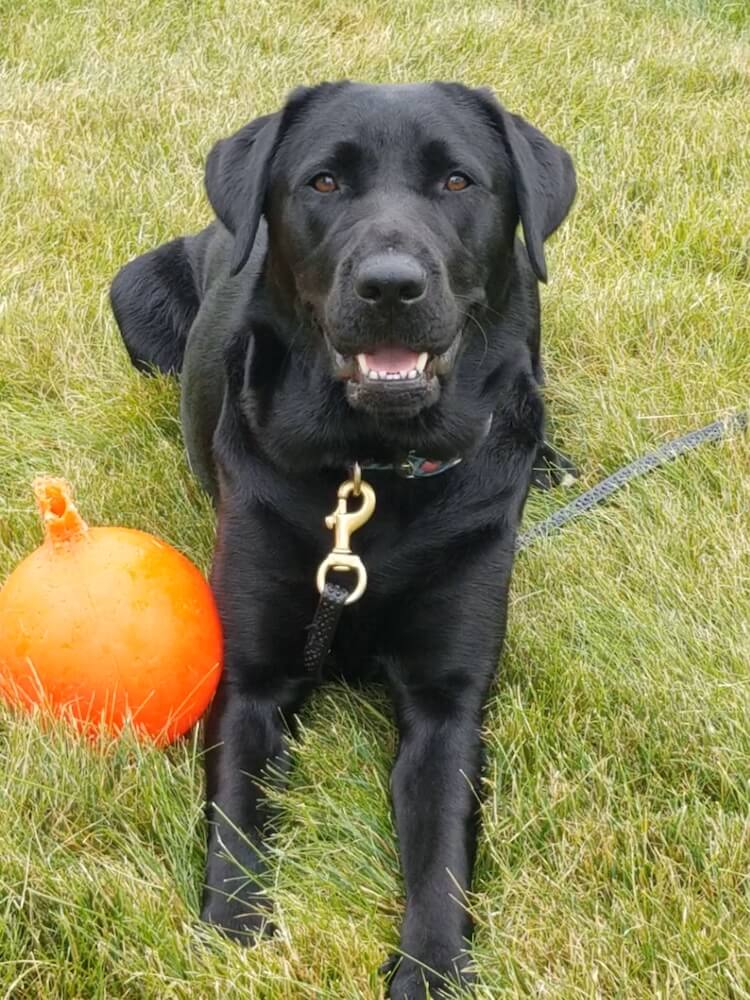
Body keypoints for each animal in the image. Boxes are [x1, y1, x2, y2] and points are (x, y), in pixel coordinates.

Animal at [111, 82, 580, 996]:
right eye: (324, 183)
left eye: (458, 182)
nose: (390, 286)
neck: (373, 470)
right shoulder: (250, 679)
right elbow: (237, 819)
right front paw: (233, 934)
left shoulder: (448, 703)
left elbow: (441, 857)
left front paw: (432, 969)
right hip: (134, 291)